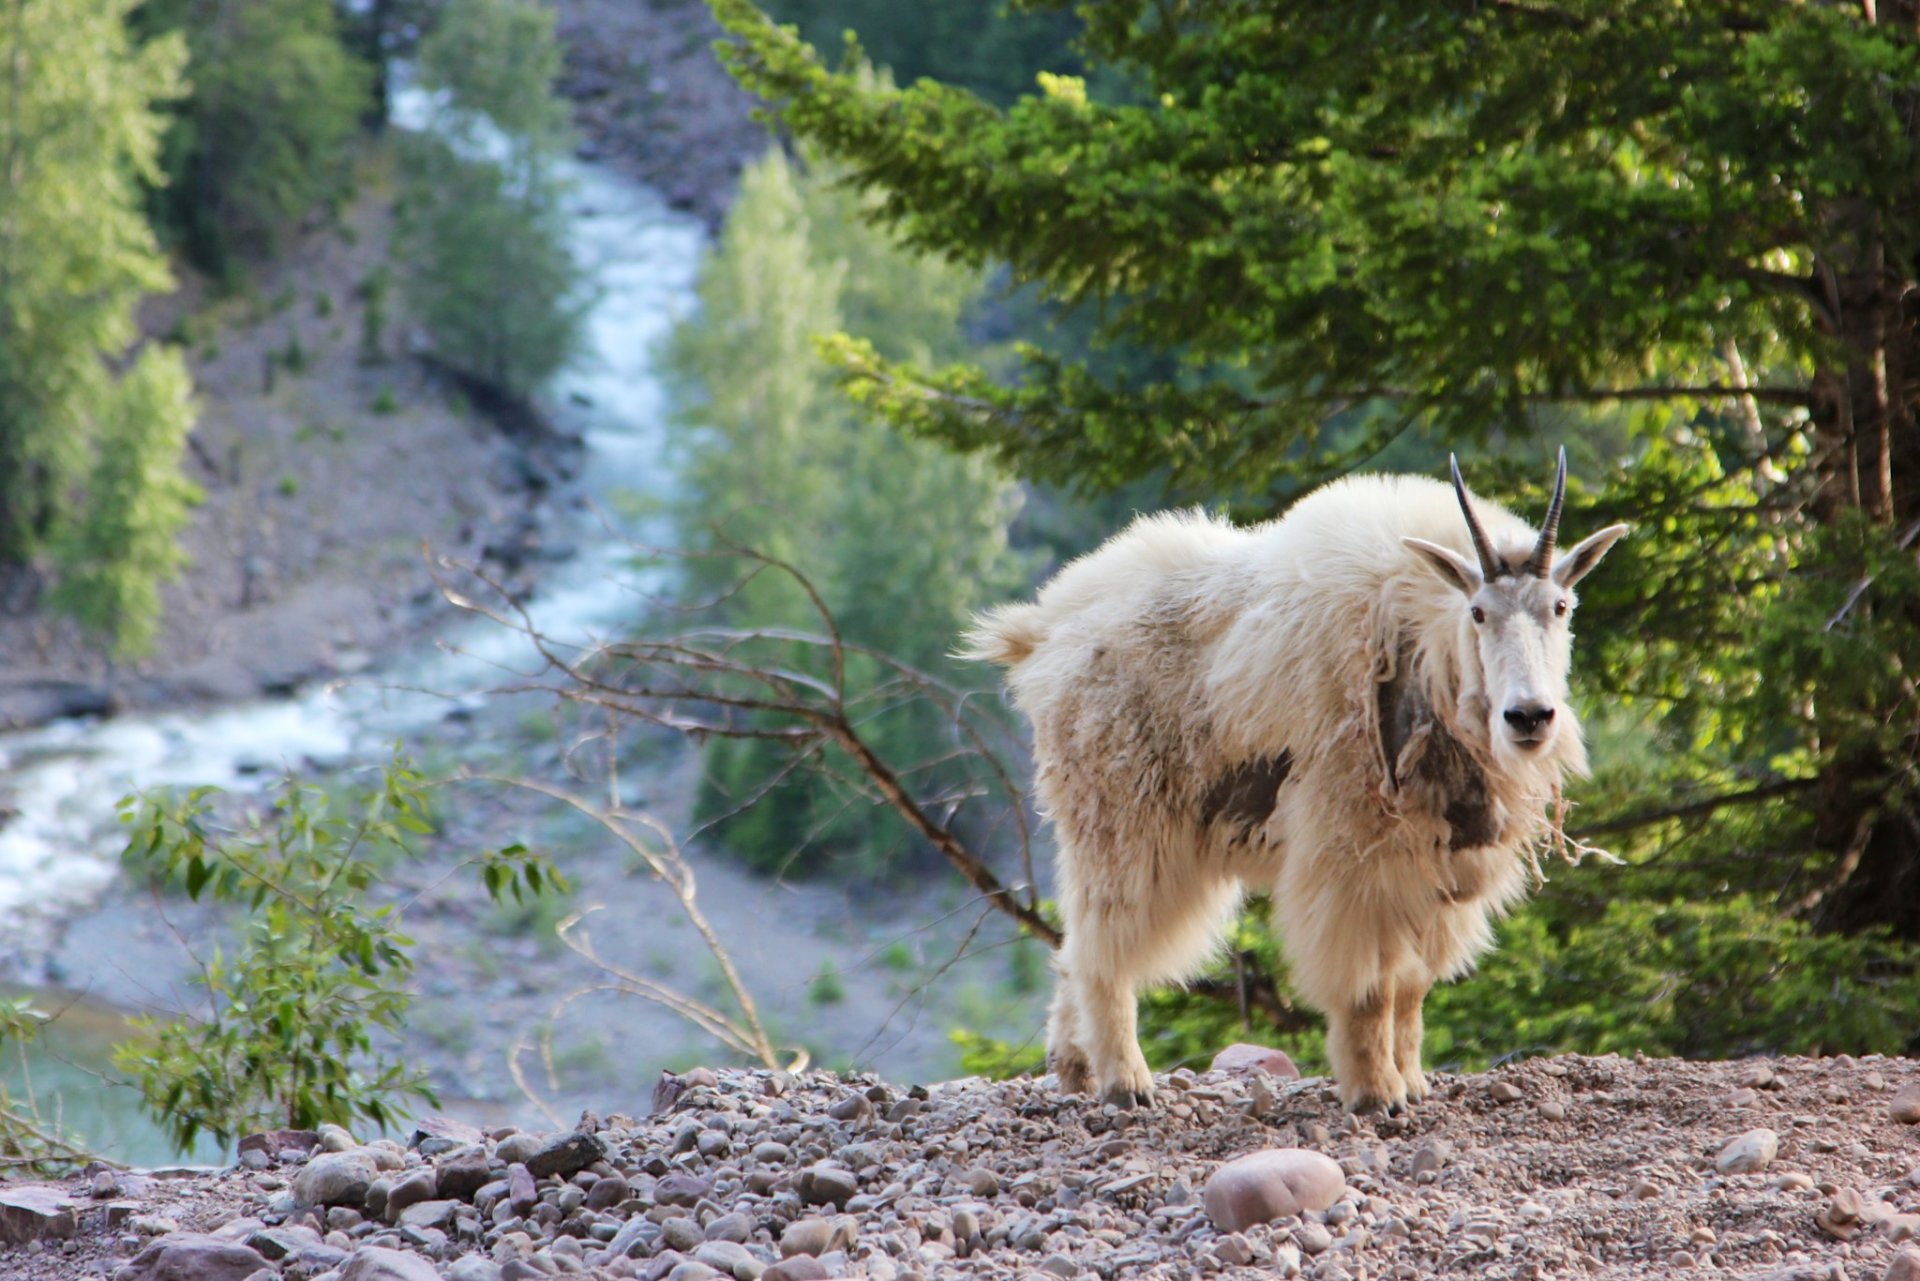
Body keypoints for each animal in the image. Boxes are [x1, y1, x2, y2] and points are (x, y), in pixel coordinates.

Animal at [967, 459, 1628, 1113]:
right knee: (1100, 945)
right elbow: (1370, 984)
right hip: (1121, 816)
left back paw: (1075, 1068)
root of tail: (1045, 631)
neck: (1423, 652)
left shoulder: (1437, 865)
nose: (1529, 717)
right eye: (1479, 611)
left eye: (1561, 606)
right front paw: (1376, 1094)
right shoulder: (1351, 850)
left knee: (1073, 948)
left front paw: (1412, 1082)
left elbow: (1412, 985)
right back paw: (1125, 1081)